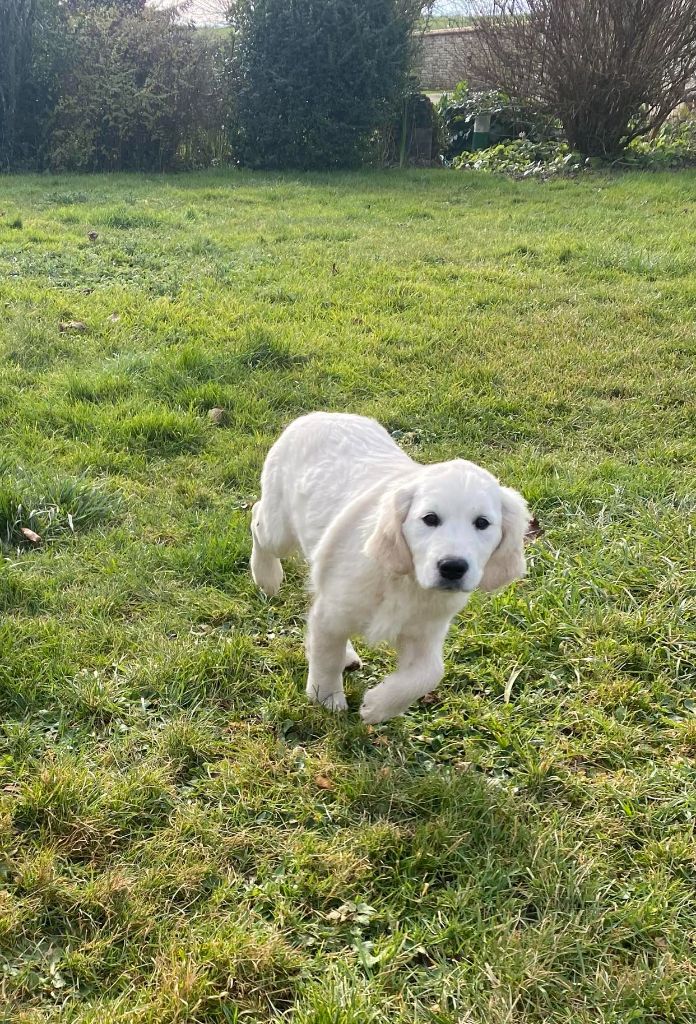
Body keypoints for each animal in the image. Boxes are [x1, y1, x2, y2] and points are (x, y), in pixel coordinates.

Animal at [252, 411, 528, 724]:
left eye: (482, 523)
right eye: (430, 519)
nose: (453, 567)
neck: (408, 582)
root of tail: (320, 414)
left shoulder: (425, 631)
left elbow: (430, 673)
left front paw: (378, 706)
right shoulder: (332, 612)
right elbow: (326, 656)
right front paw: (326, 699)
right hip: (279, 532)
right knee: (257, 517)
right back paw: (266, 576)